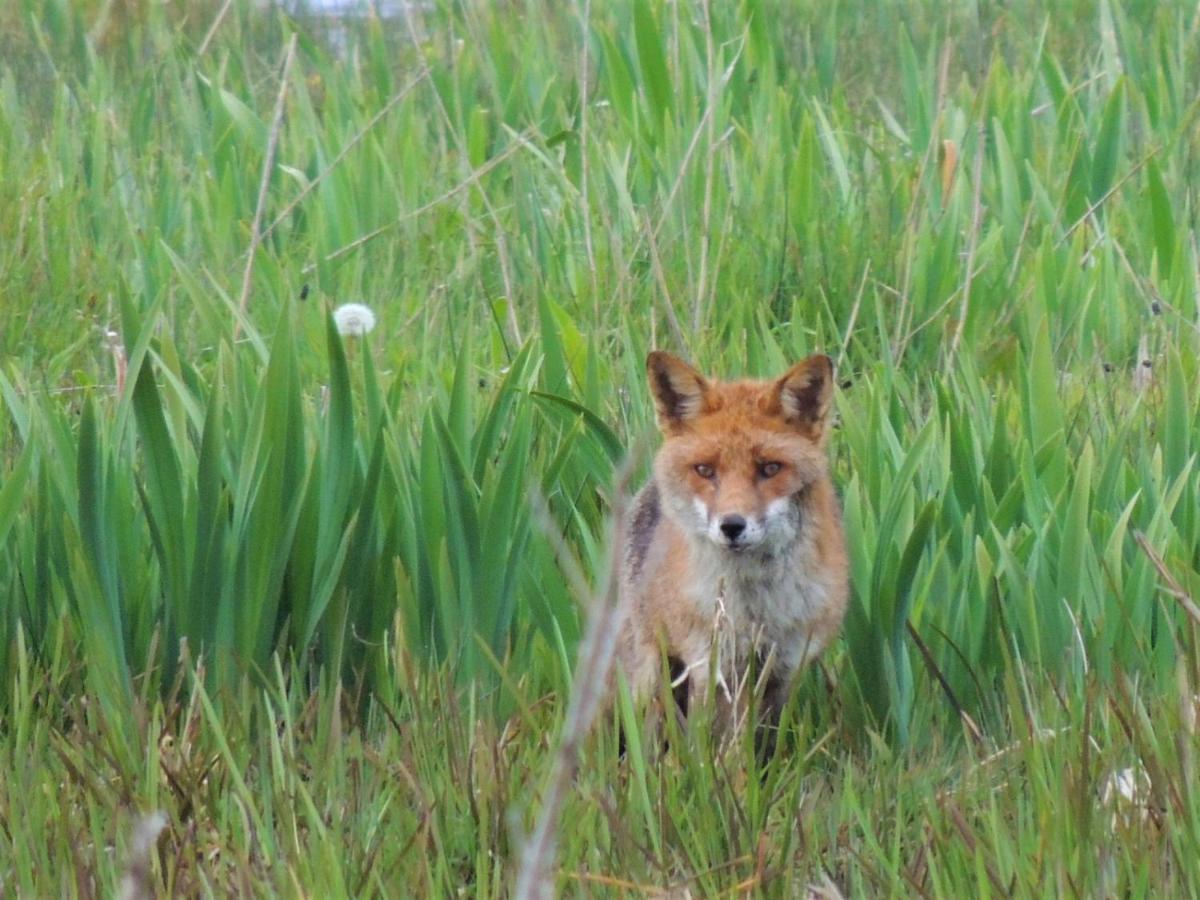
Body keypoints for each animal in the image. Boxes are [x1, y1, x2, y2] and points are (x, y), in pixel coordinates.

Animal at [614, 352, 849, 739]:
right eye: (705, 470)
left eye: (770, 468)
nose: (732, 526)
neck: (755, 608)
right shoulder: (713, 666)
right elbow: (715, 743)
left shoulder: (786, 666)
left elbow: (765, 742)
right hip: (650, 672)